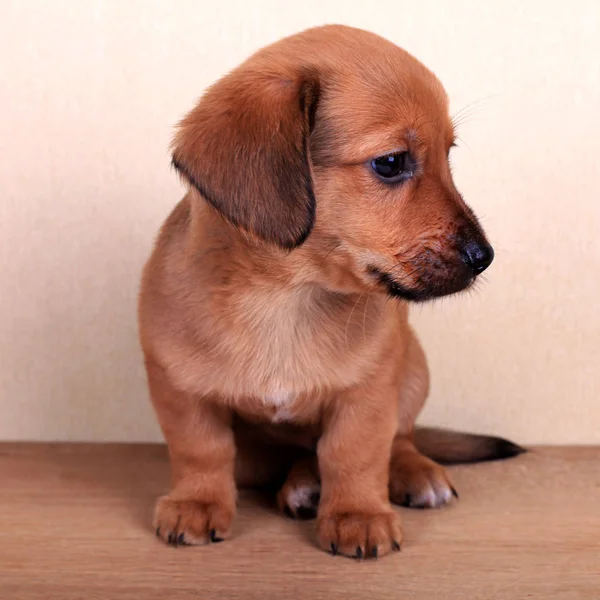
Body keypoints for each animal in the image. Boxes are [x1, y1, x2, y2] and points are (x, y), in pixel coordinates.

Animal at [138, 23, 524, 556]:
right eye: (391, 163)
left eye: (448, 156)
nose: (484, 257)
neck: (285, 297)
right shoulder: (180, 389)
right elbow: (201, 450)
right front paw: (196, 502)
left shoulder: (367, 394)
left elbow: (354, 454)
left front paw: (357, 514)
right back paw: (303, 484)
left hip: (412, 367)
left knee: (401, 439)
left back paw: (407, 473)